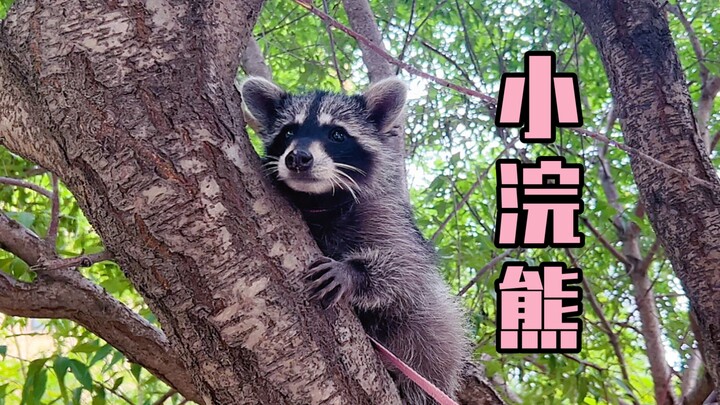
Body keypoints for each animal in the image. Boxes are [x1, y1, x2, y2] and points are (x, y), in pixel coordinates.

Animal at [239, 76, 469, 404]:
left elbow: (406, 268)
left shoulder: (388, 217)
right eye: (289, 132)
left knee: (429, 328)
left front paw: (354, 272)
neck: (319, 199)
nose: (298, 158)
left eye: (337, 134)